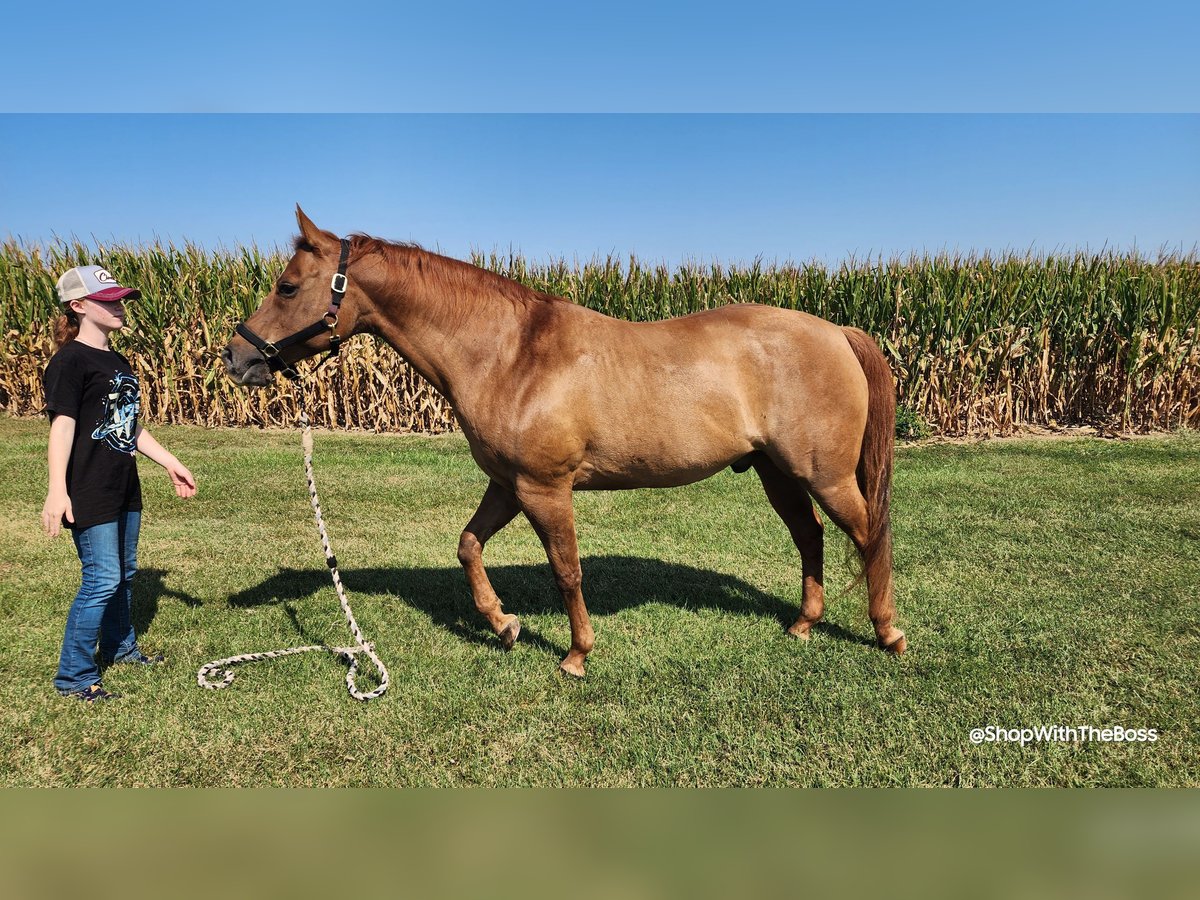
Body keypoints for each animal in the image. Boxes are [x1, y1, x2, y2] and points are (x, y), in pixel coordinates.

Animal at [220, 210, 902, 676]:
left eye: (287, 287)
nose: (234, 357)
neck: (510, 353)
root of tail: (836, 332)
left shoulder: (545, 489)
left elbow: (567, 571)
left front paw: (576, 654)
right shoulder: (508, 485)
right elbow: (468, 546)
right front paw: (504, 625)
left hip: (823, 475)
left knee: (869, 534)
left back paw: (887, 633)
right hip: (776, 472)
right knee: (811, 536)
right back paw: (804, 625)